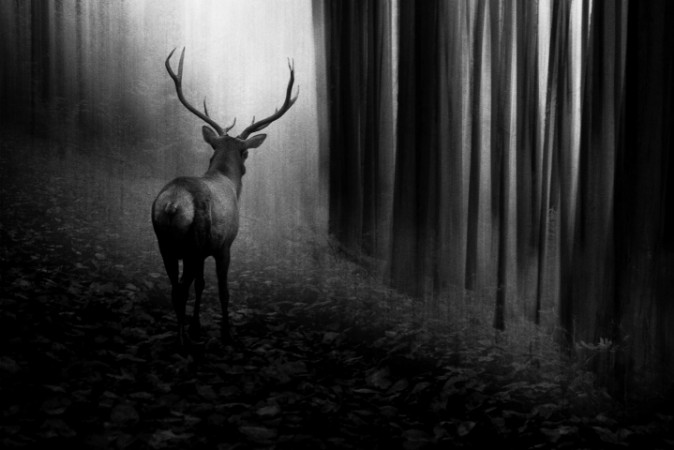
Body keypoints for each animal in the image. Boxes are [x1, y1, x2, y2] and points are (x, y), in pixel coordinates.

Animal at [152, 48, 298, 347]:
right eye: (246, 152)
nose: (245, 163)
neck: (227, 180)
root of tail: (172, 204)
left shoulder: (205, 251)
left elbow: (202, 285)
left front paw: (197, 326)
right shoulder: (224, 245)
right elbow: (222, 289)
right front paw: (227, 332)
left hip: (165, 243)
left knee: (174, 287)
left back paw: (183, 333)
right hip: (194, 242)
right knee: (180, 289)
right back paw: (182, 341)